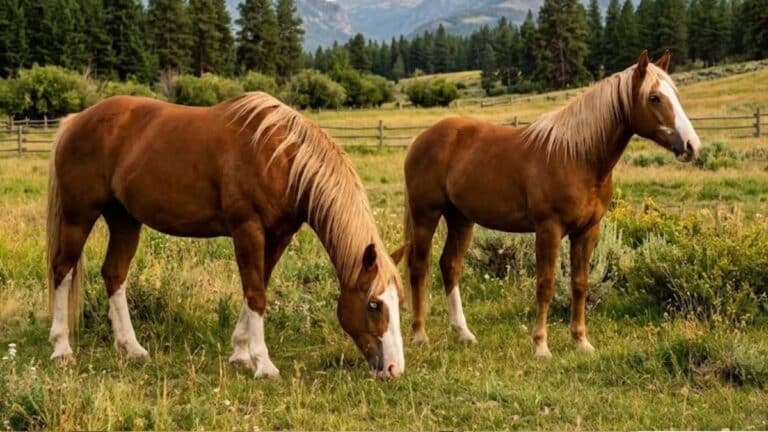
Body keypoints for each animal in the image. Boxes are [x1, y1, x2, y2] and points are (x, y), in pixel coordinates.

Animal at [46, 92, 407, 379]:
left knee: (114, 274)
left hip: (124, 220)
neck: (280, 158)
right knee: (63, 271)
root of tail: (76, 121)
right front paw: (264, 365)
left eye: (397, 302)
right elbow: (256, 294)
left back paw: (131, 348)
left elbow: (256, 289)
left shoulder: (278, 236)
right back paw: (62, 349)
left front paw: (241, 354)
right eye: (374, 304)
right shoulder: (248, 229)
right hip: (79, 217)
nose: (394, 368)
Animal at [402, 51, 701, 357]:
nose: (692, 145)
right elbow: (545, 285)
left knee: (450, 265)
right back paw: (419, 334)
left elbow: (579, 284)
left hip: (461, 219)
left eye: (674, 93)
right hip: (426, 215)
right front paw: (541, 346)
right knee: (419, 267)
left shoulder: (588, 231)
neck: (577, 156)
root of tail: (421, 138)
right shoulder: (549, 229)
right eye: (654, 97)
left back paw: (464, 333)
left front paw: (581, 341)